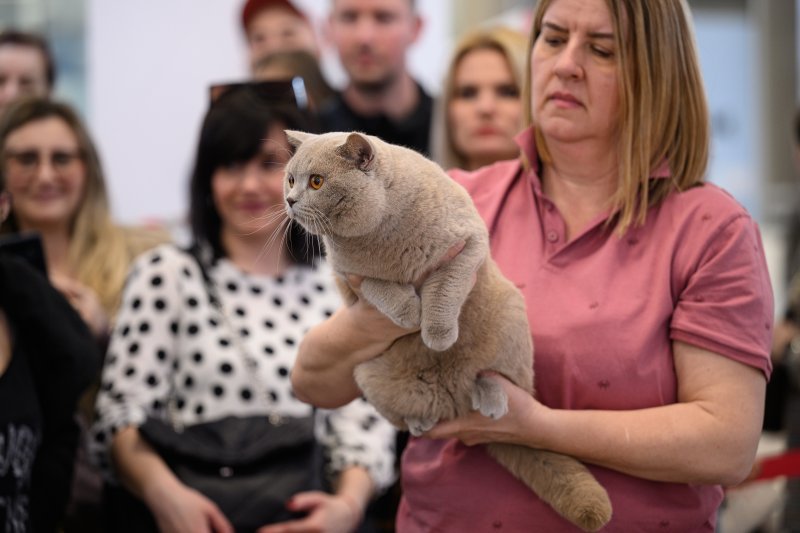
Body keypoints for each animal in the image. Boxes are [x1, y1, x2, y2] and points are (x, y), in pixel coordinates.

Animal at [282, 130, 612, 532]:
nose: (289, 200)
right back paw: (422, 420)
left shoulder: (466, 246)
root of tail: (452, 399)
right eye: (290, 179)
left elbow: (445, 290)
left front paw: (437, 335)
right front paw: (410, 314)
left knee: (505, 380)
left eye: (317, 181)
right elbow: (380, 288)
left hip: (510, 311)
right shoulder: (349, 278)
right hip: (367, 373)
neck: (380, 234)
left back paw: (491, 398)